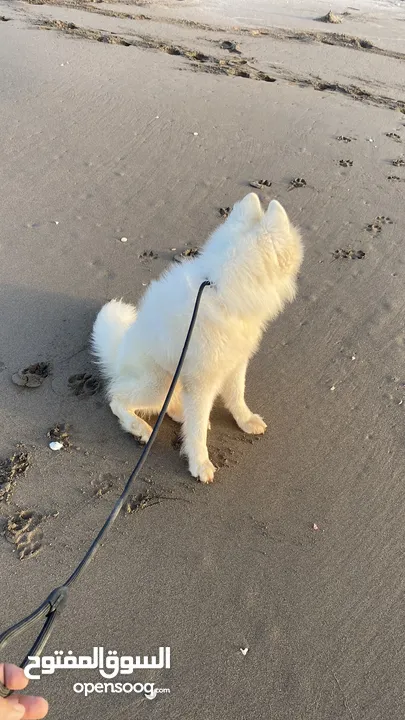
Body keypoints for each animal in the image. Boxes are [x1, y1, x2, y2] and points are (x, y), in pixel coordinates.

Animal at [90, 194, 302, 480]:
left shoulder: (235, 363)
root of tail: (118, 354)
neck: (220, 289)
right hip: (159, 382)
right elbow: (198, 429)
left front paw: (245, 420)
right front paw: (200, 463)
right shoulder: (202, 383)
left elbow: (237, 396)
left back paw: (179, 413)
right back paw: (139, 427)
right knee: (117, 398)